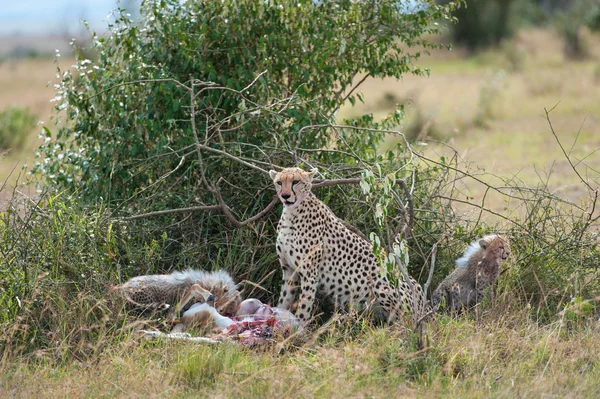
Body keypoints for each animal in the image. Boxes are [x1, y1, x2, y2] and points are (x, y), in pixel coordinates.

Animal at [268, 167, 426, 324]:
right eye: (279, 182)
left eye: (295, 181)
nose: (285, 196)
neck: (292, 214)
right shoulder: (289, 269)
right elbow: (284, 299)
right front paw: (278, 319)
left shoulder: (309, 272)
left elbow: (304, 306)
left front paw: (299, 327)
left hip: (382, 282)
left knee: (405, 320)